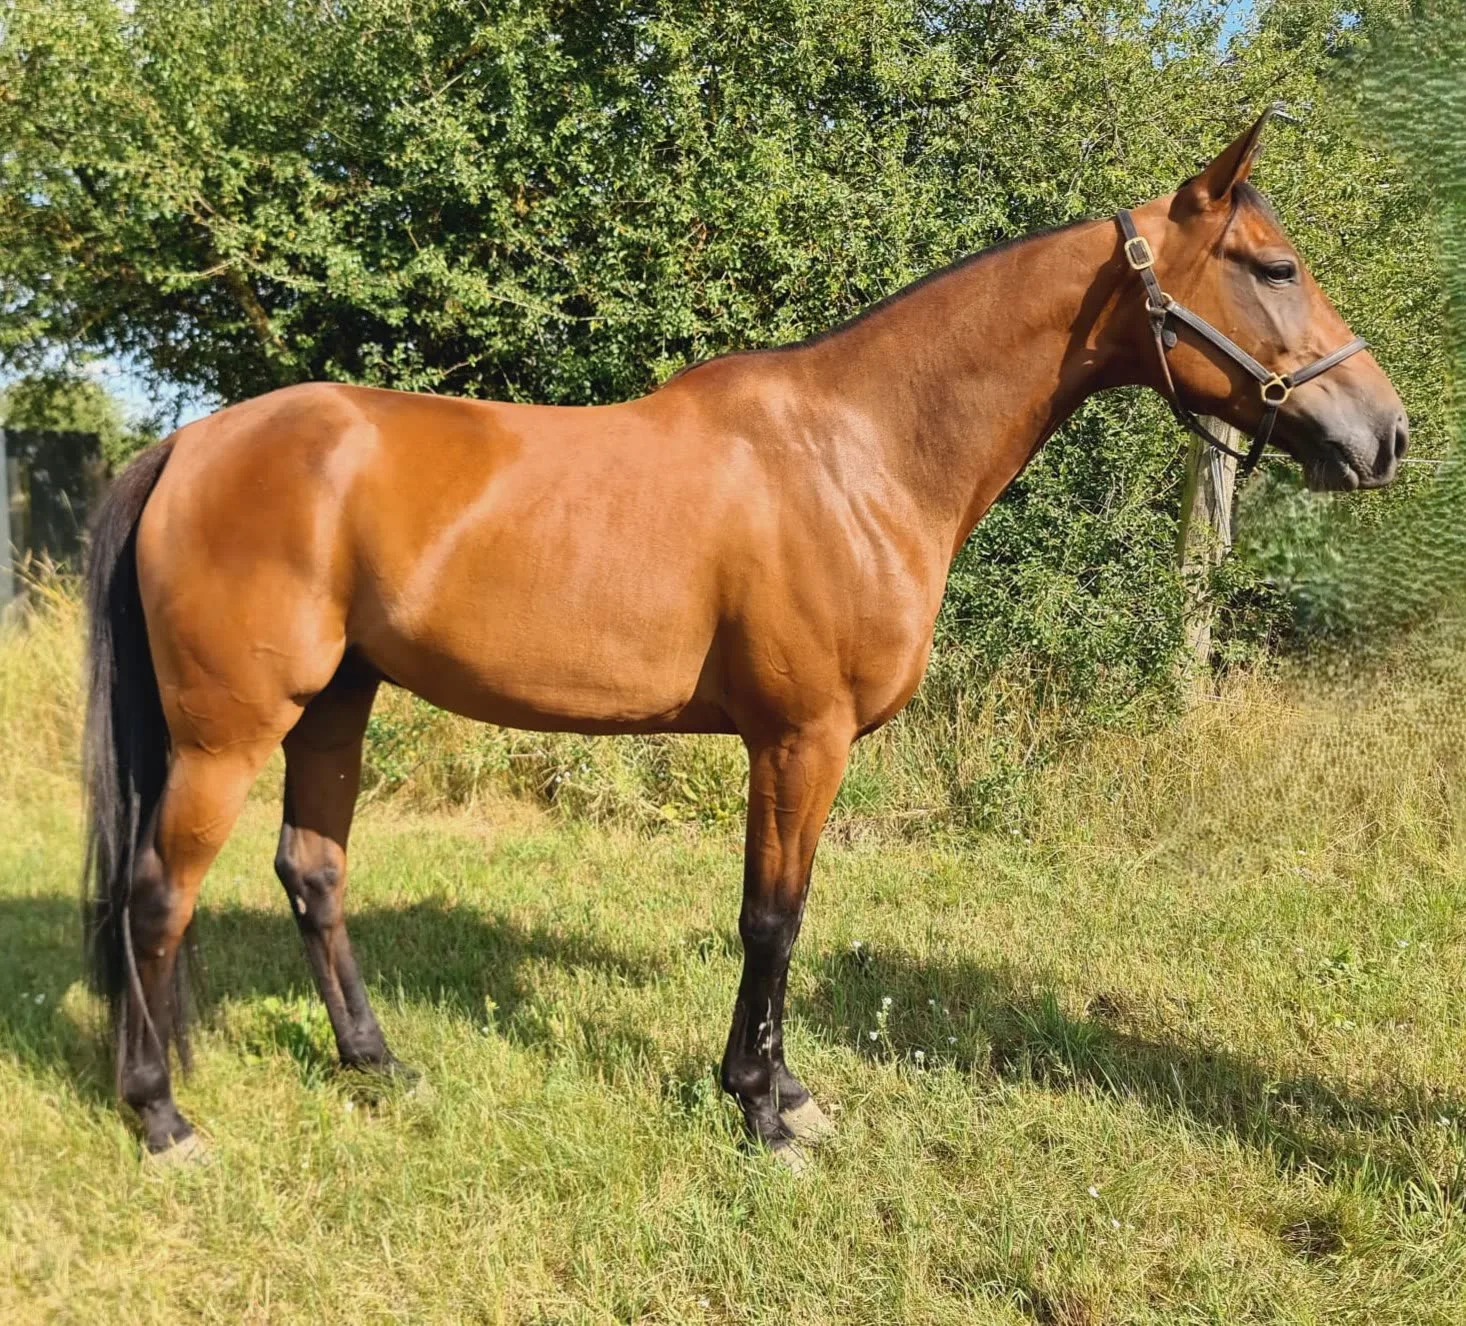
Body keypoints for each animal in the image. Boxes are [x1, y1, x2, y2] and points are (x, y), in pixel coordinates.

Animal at [83, 110, 1407, 1167]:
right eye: (1273, 268)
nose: (1383, 433)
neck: (860, 450)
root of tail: (189, 445)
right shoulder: (796, 738)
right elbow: (772, 919)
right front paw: (762, 1111)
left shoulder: (803, 746)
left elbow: (789, 912)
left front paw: (781, 1090)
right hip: (227, 732)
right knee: (155, 896)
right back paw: (161, 1117)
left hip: (335, 704)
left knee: (312, 871)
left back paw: (377, 1064)